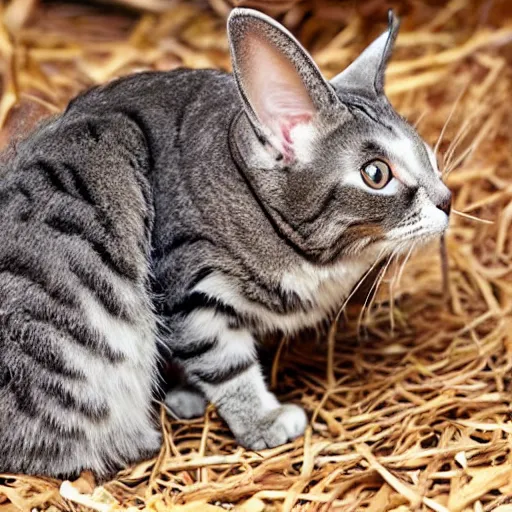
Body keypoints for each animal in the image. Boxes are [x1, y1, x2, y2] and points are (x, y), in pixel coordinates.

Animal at [0, 8, 450, 478]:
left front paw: (184, 394)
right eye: (376, 174)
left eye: (427, 155)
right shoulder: (190, 291)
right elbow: (226, 366)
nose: (447, 200)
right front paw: (263, 420)